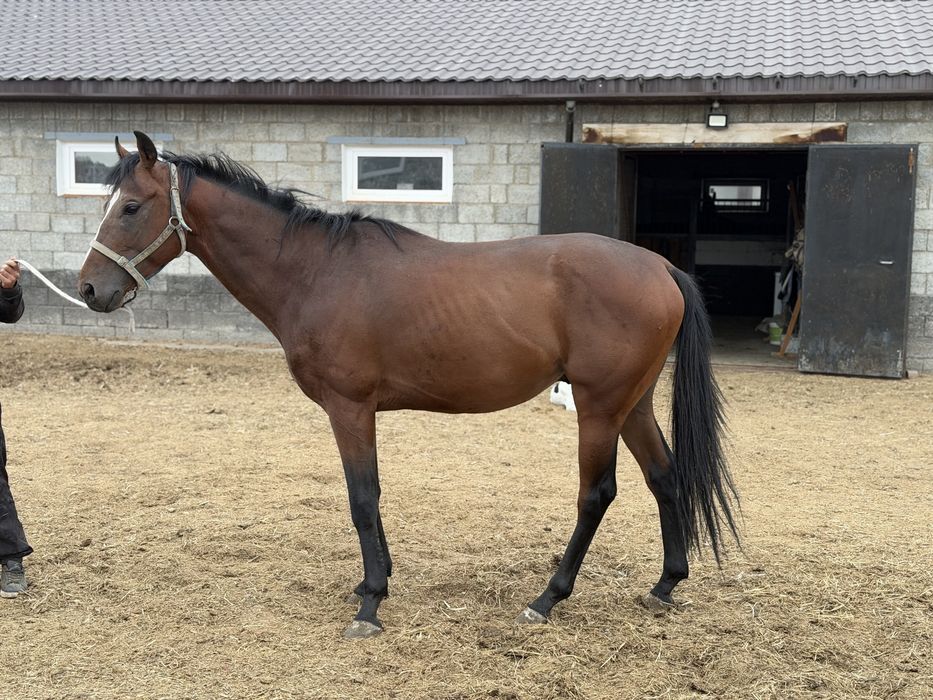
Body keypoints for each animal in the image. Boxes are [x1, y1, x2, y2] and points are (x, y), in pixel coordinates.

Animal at [78, 131, 739, 639]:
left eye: (131, 207)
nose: (89, 289)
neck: (317, 271)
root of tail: (658, 266)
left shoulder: (349, 408)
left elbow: (362, 498)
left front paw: (371, 602)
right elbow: (369, 497)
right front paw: (376, 582)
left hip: (599, 408)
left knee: (596, 495)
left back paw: (547, 598)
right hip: (633, 405)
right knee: (665, 476)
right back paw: (665, 584)